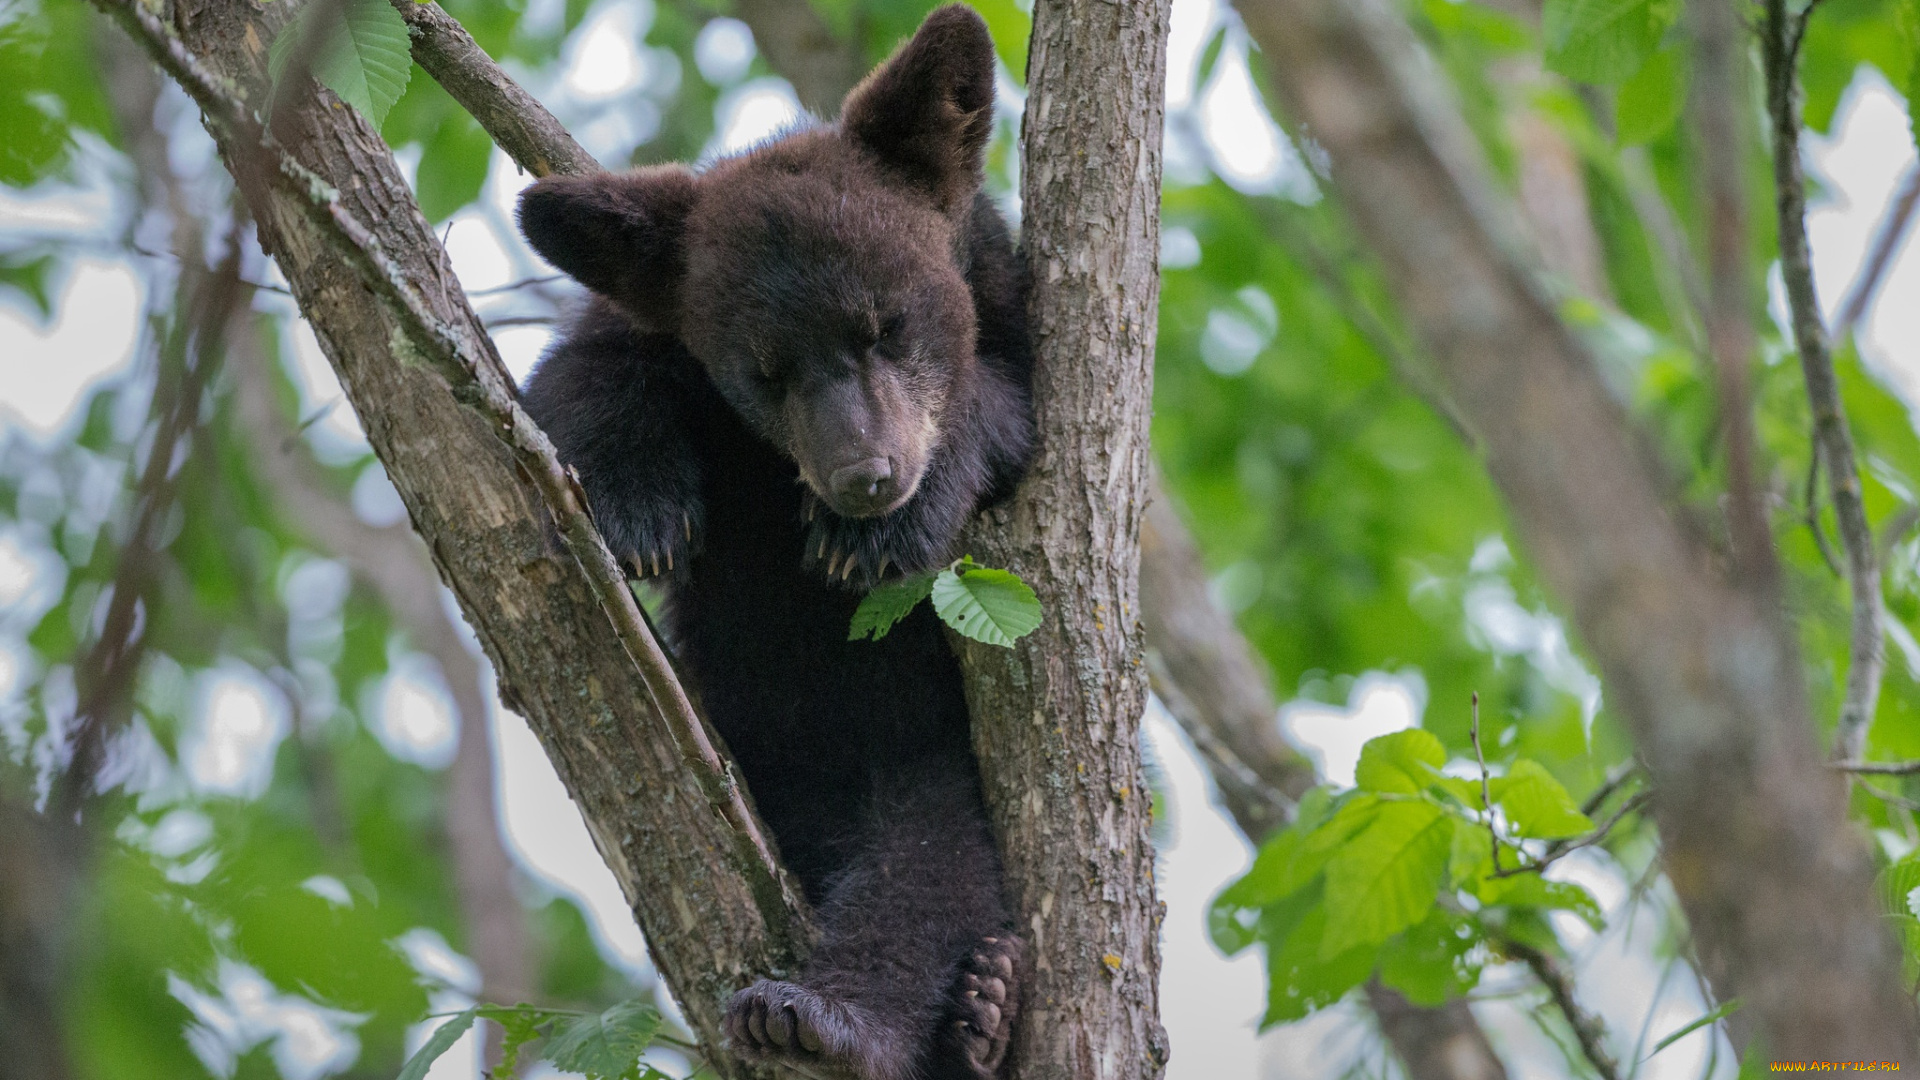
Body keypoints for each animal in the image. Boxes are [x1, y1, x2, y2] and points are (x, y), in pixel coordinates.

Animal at [514, 6, 1036, 1068]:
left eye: (887, 326)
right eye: (766, 371)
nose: (863, 474)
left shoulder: (1016, 322)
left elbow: (1006, 407)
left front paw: (876, 532)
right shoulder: (639, 323)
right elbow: (574, 382)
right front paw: (640, 506)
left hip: (937, 763)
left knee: (932, 870)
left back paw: (880, 1015)